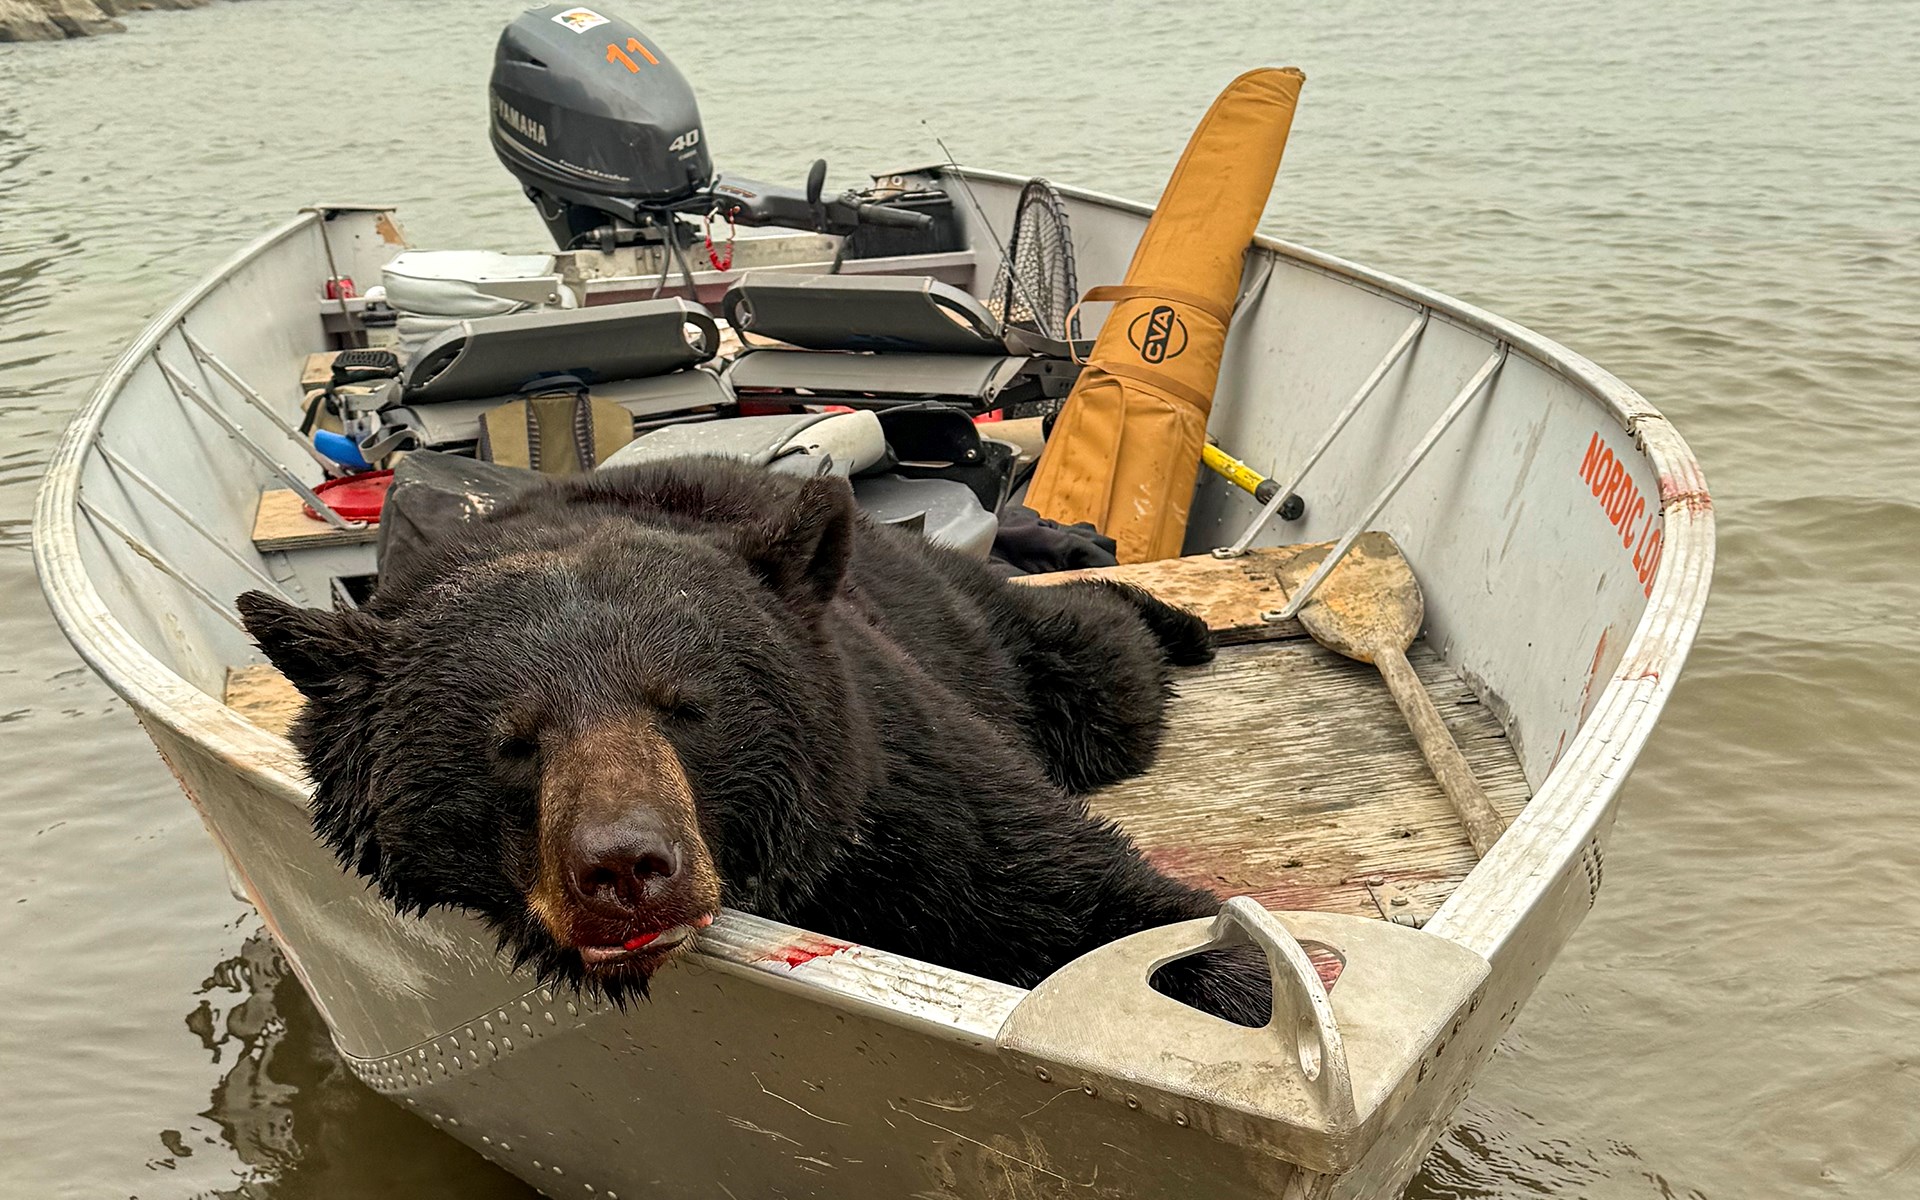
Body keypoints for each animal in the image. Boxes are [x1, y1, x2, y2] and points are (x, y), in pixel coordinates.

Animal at [238, 457, 1269, 1023]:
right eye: (512, 740)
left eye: (684, 706)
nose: (626, 868)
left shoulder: (886, 778)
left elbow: (1087, 894)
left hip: (974, 632)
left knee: (1099, 666)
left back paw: (1175, 619)